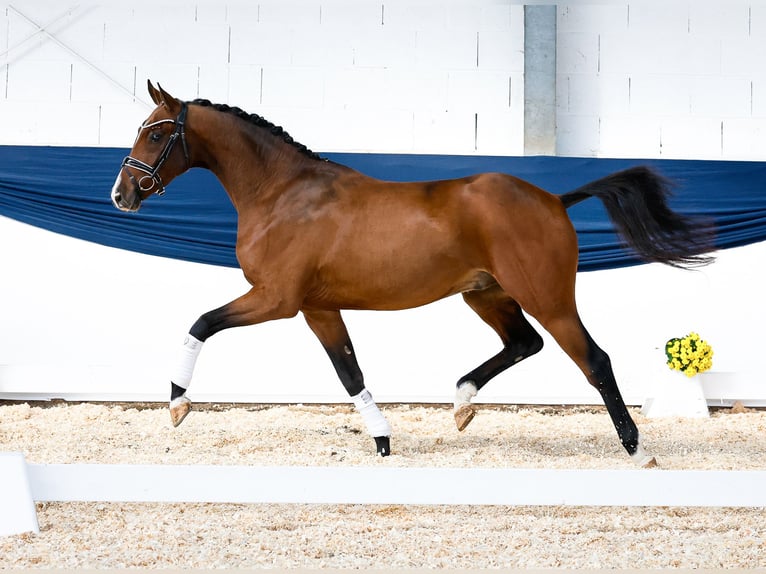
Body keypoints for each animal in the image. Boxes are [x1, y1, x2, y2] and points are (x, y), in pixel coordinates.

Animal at [109, 81, 712, 468]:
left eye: (156, 134)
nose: (122, 194)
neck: (282, 194)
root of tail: (553, 199)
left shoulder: (276, 299)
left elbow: (201, 323)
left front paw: (177, 406)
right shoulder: (317, 307)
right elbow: (349, 372)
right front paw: (382, 442)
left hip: (547, 297)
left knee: (593, 359)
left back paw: (638, 449)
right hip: (485, 295)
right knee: (524, 343)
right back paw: (462, 404)